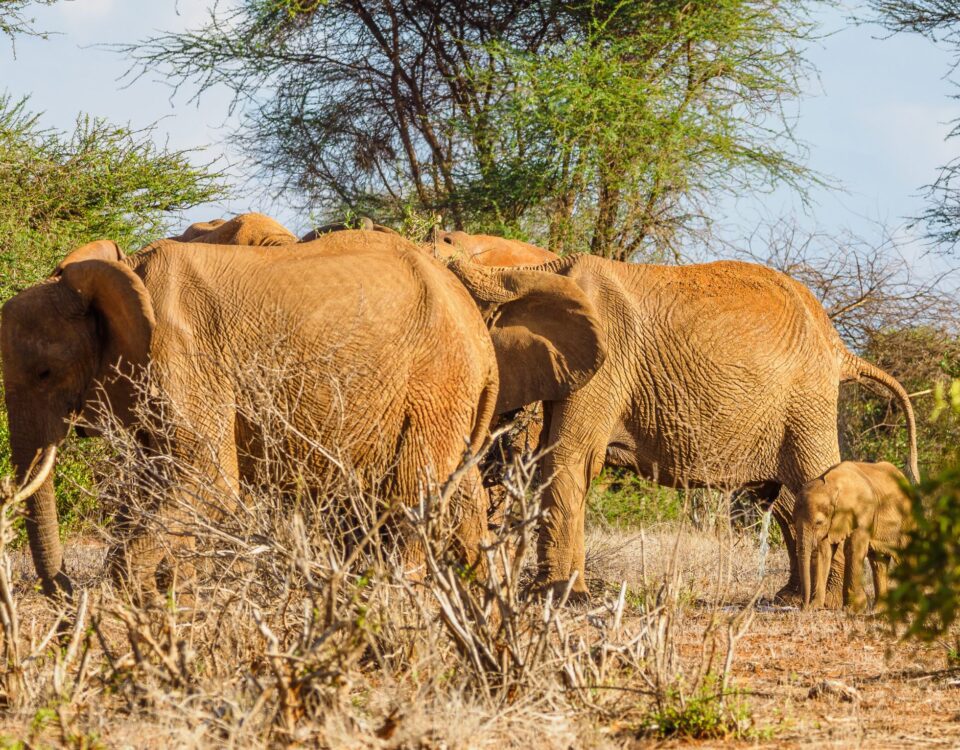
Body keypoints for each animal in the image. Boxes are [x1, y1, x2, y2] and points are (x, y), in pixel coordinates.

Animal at [0, 232, 604, 604]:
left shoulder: (184, 356)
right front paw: (160, 597)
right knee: (454, 500)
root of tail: (478, 334)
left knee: (411, 497)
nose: (64, 591)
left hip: (435, 382)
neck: (120, 275)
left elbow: (207, 481)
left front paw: (130, 600)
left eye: (46, 372)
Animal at [796, 462, 916, 612]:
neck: (832, 486)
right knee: (878, 562)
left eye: (818, 523)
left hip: (907, 521)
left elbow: (853, 549)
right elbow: (824, 552)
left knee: (908, 558)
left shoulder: (864, 510)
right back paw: (879, 609)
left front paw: (852, 609)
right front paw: (815, 606)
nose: (803, 606)